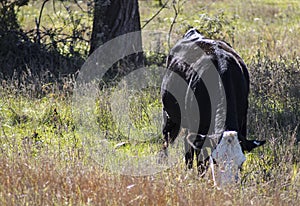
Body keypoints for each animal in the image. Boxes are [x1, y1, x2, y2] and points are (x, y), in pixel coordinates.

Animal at [161, 28, 266, 171]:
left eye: (241, 162)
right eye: (216, 161)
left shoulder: (243, 122)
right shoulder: (199, 132)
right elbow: (201, 163)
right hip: (170, 116)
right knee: (166, 140)